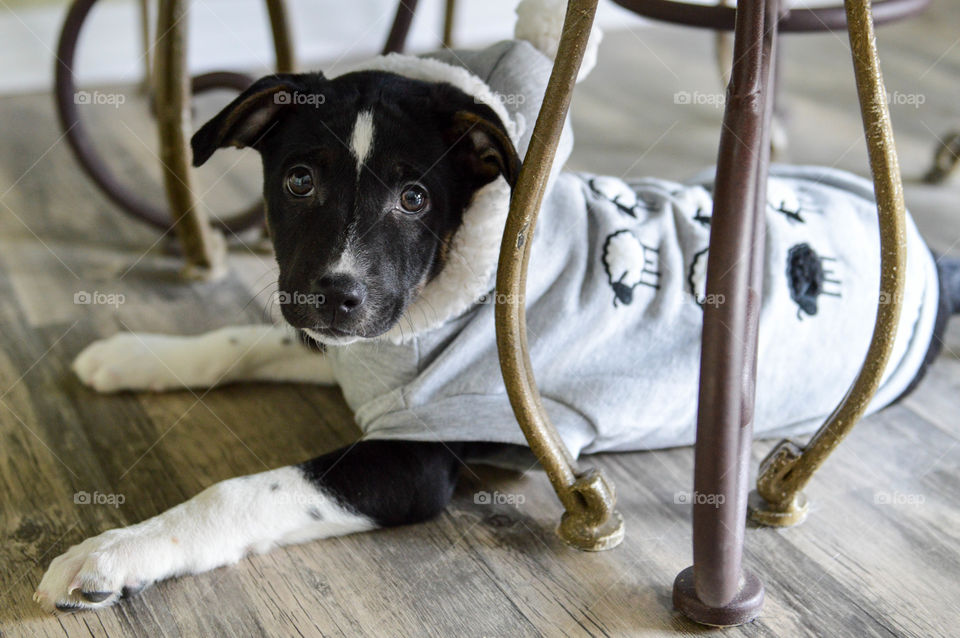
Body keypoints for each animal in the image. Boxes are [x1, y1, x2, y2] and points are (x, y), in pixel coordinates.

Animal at [35, 36, 960, 616]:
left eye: (415, 198)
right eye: (297, 180)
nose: (337, 296)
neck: (438, 301)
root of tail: (927, 258)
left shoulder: (417, 457)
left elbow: (239, 492)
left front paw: (112, 553)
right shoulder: (358, 342)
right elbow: (247, 338)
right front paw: (136, 354)